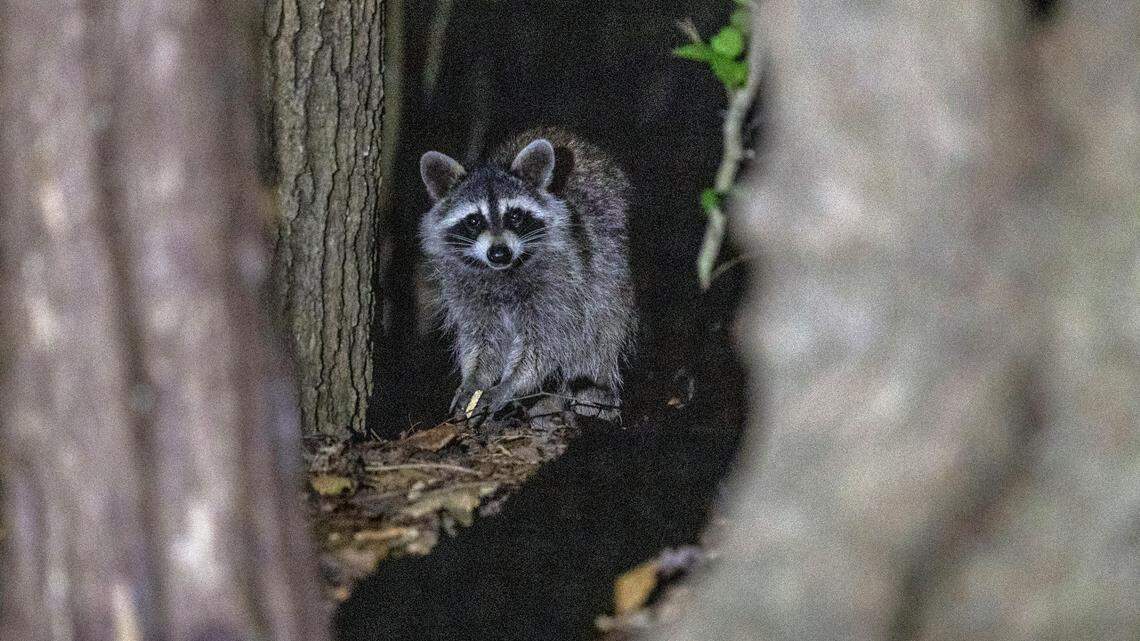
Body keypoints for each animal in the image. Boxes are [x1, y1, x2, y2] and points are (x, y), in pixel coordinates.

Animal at [418, 127, 636, 425]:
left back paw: (595, 385)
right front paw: (473, 379)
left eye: (515, 216)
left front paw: (509, 385)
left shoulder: (562, 280)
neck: (503, 272)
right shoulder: (464, 288)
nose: (499, 253)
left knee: (604, 320)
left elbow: (547, 342)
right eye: (474, 220)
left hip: (611, 260)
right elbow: (481, 339)